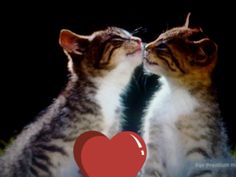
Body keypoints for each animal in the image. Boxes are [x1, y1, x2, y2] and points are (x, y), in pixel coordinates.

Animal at [141, 17, 233, 176]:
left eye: (163, 46)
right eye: (159, 37)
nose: (146, 46)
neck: (175, 91)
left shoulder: (200, 155)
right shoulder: (154, 150)